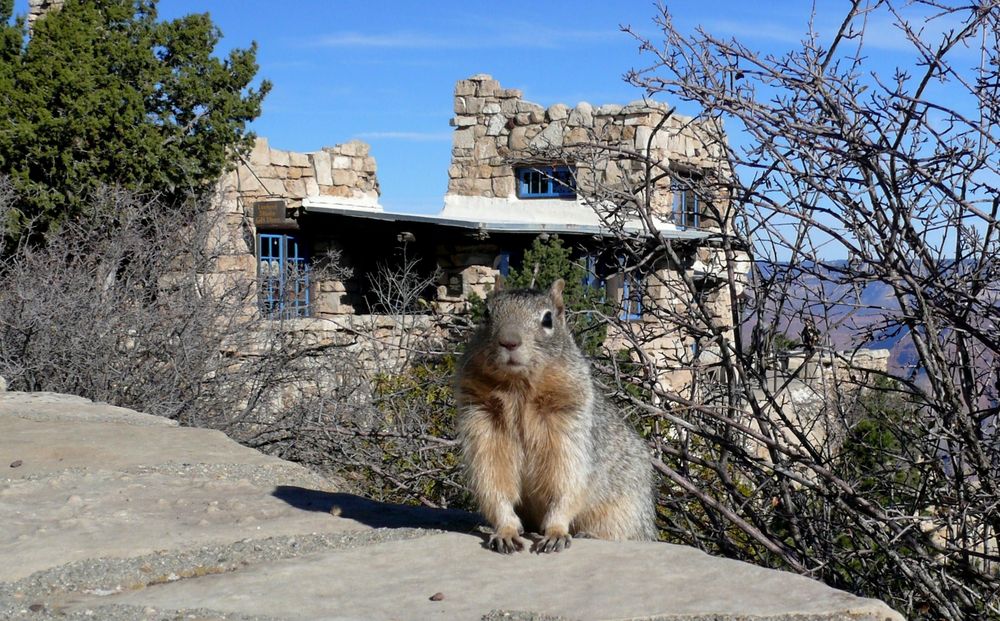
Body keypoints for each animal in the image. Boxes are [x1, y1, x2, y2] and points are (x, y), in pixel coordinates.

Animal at [454, 278, 656, 552]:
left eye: (548, 319)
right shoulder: (483, 428)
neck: (518, 390)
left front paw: (555, 533)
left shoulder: (568, 431)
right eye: (486, 314)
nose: (509, 341)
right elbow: (494, 485)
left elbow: (567, 485)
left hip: (624, 511)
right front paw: (506, 531)